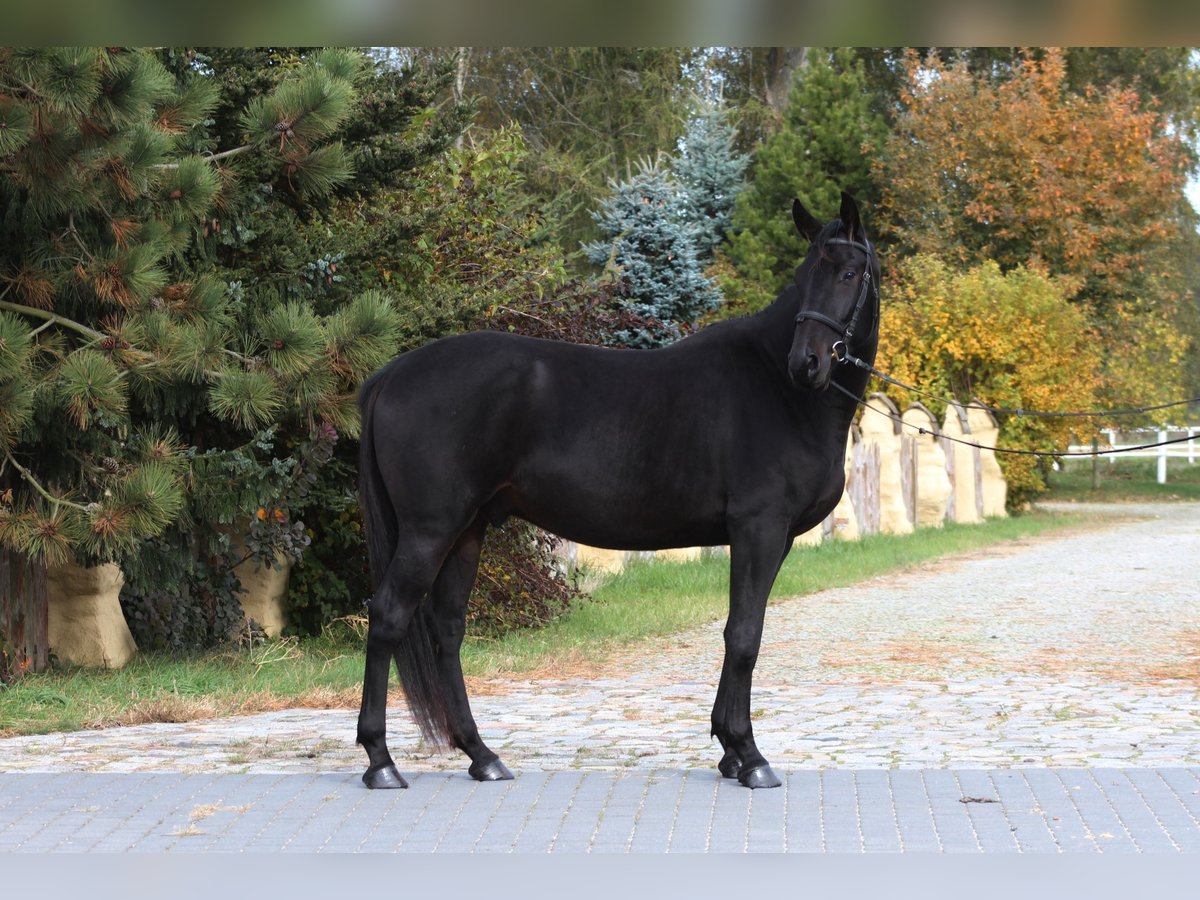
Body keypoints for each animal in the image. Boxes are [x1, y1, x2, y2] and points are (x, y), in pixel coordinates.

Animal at [355, 190, 883, 787]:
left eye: (847, 272)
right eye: (804, 274)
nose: (806, 363)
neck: (777, 390)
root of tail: (393, 373)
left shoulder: (769, 536)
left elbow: (738, 631)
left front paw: (728, 749)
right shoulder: (760, 530)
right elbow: (745, 634)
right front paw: (749, 755)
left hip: (468, 530)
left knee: (447, 629)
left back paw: (482, 755)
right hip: (431, 529)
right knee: (389, 615)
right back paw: (381, 761)